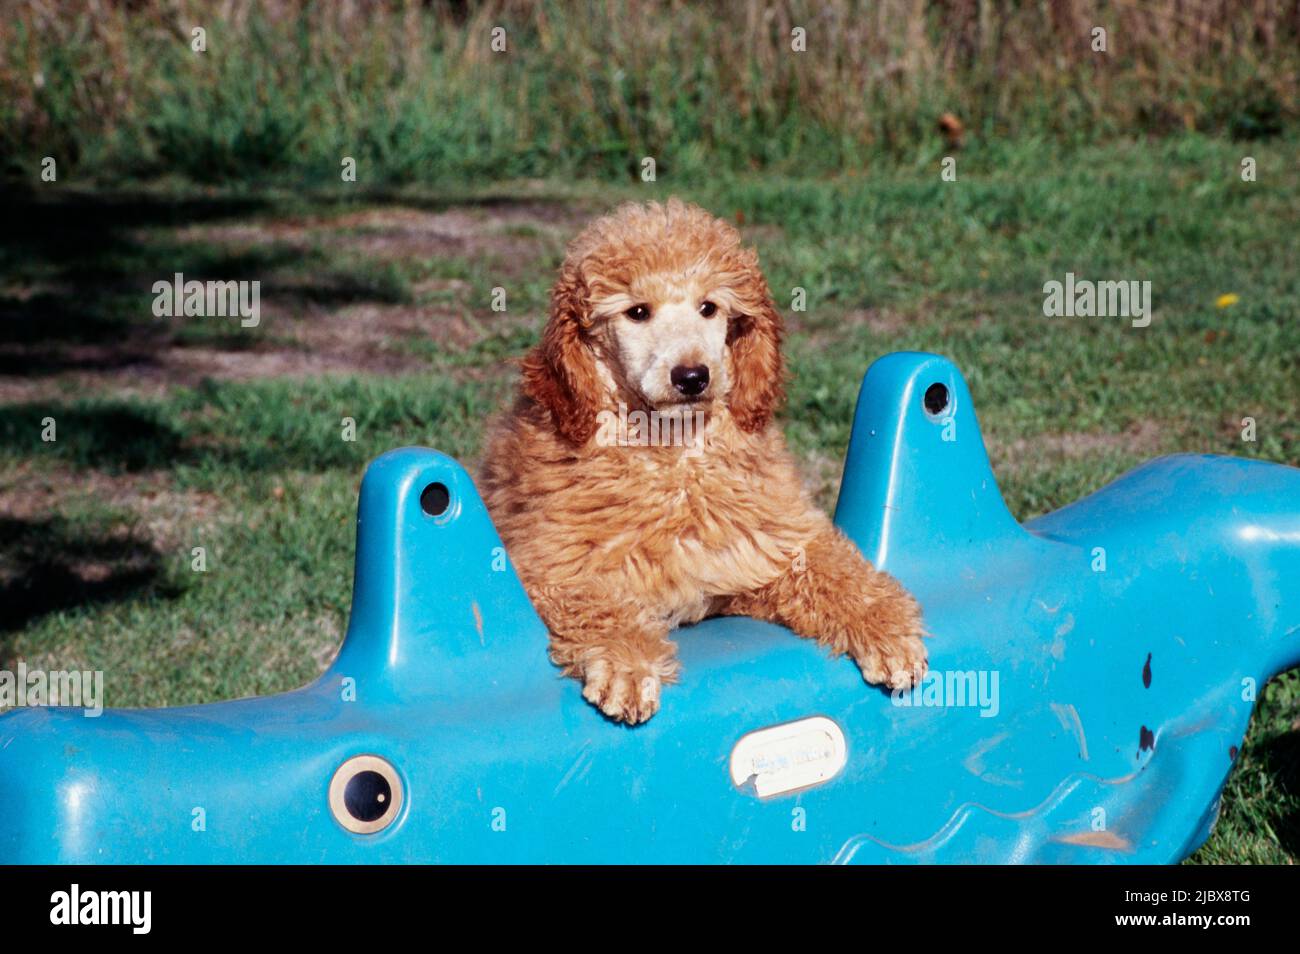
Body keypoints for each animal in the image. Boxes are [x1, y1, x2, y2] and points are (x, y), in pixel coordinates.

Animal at [483, 200, 930, 722]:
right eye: (637, 312)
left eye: (708, 308)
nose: (692, 376)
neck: (674, 460)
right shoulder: (549, 566)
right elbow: (597, 602)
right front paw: (627, 664)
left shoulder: (766, 551)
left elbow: (835, 569)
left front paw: (885, 626)